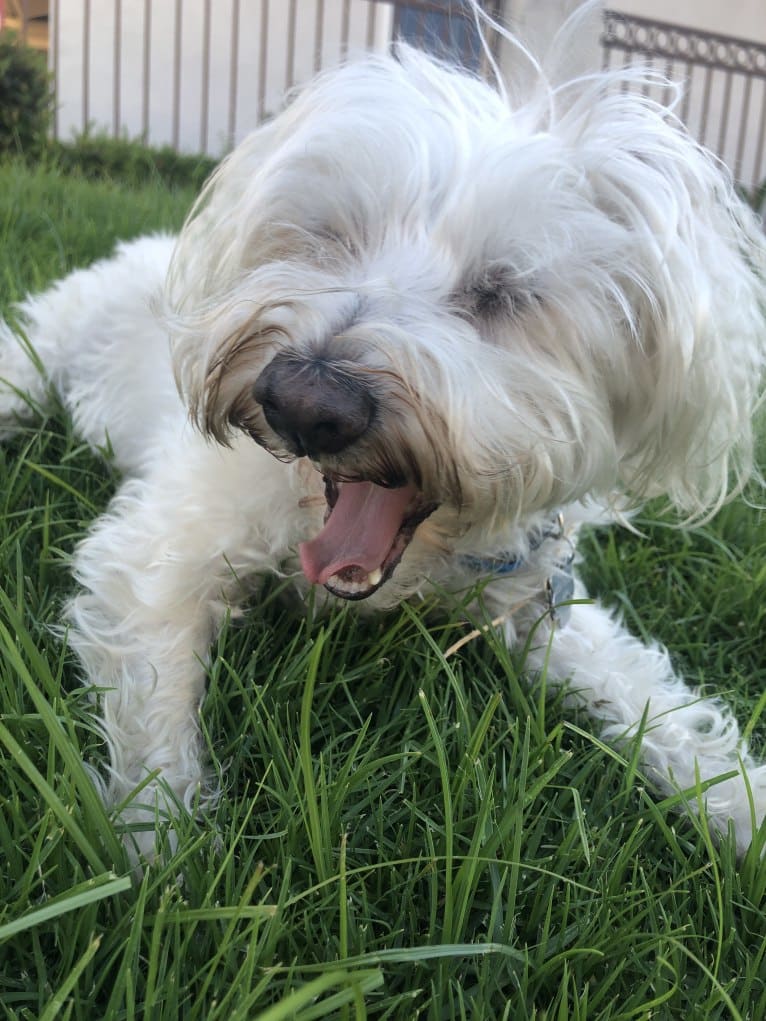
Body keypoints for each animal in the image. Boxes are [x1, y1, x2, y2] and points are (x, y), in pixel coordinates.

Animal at [1, 23, 766, 857]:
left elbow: (645, 690)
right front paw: (158, 849)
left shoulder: (535, 599)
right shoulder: (156, 555)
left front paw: (739, 801)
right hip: (32, 361)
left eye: (501, 291)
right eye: (332, 238)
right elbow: (154, 718)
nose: (305, 403)